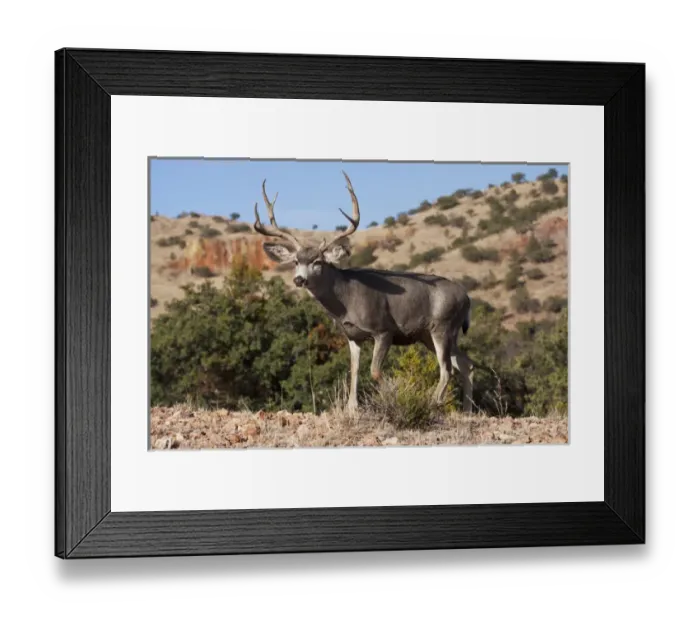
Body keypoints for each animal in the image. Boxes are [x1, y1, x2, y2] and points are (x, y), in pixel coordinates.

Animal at [253, 171, 475, 413]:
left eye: (318, 262)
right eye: (295, 261)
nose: (299, 279)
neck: (345, 301)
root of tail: (467, 298)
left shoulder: (384, 330)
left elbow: (375, 371)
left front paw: (393, 397)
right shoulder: (352, 336)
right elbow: (354, 371)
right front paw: (351, 408)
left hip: (442, 325)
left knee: (447, 368)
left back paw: (433, 403)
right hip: (430, 334)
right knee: (466, 364)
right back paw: (467, 410)